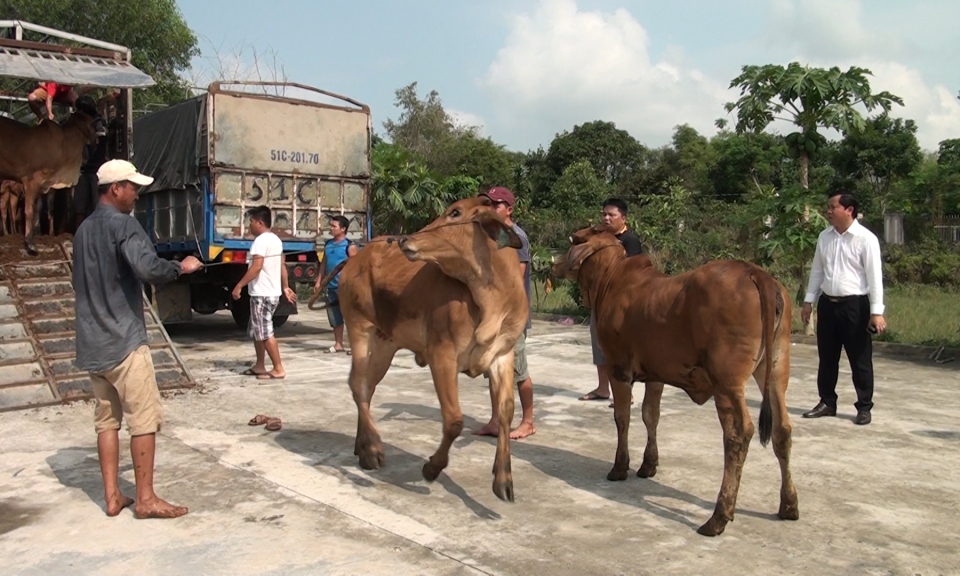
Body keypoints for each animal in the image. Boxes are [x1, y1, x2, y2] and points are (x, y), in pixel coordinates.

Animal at [0, 113, 96, 253]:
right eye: (92, 123)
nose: (88, 158)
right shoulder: (32, 180)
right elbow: (29, 211)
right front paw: (30, 243)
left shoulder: (46, 188)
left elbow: (45, 210)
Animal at [336, 196, 524, 502]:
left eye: (455, 213)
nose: (405, 240)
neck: (490, 298)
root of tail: (356, 258)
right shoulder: (442, 354)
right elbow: (454, 420)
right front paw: (432, 468)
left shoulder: (502, 355)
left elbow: (505, 412)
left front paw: (503, 480)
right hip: (358, 328)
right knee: (359, 386)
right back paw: (373, 449)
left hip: (385, 343)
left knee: (366, 386)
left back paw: (361, 447)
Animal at [552, 225, 800, 536]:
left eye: (573, 240)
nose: (554, 264)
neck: (610, 279)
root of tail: (756, 273)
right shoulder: (655, 375)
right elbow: (650, 415)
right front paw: (648, 465)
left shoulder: (618, 369)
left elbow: (623, 418)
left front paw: (620, 467)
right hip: (776, 368)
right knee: (782, 429)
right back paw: (788, 504)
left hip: (727, 382)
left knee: (738, 434)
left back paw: (719, 516)